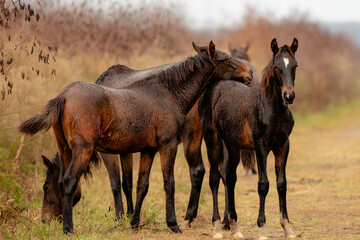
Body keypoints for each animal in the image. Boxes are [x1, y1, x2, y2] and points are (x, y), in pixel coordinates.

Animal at [18, 41, 252, 234]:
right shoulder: (165, 145)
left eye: (45, 187)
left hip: (67, 149)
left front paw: (134, 222)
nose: (249, 73)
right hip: (83, 150)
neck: (168, 93)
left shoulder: (148, 150)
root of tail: (64, 96)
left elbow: (141, 185)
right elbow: (165, 182)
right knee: (68, 181)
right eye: (227, 60)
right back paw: (69, 229)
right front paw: (172, 224)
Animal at [200, 38, 298, 239]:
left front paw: (287, 228)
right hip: (212, 139)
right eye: (276, 67)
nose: (289, 96)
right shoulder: (261, 146)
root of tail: (213, 88)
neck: (271, 108)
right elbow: (263, 184)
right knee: (214, 178)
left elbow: (281, 184)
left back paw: (234, 226)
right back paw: (217, 227)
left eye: (295, 65)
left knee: (229, 177)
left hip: (232, 145)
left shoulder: (283, 146)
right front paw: (262, 228)